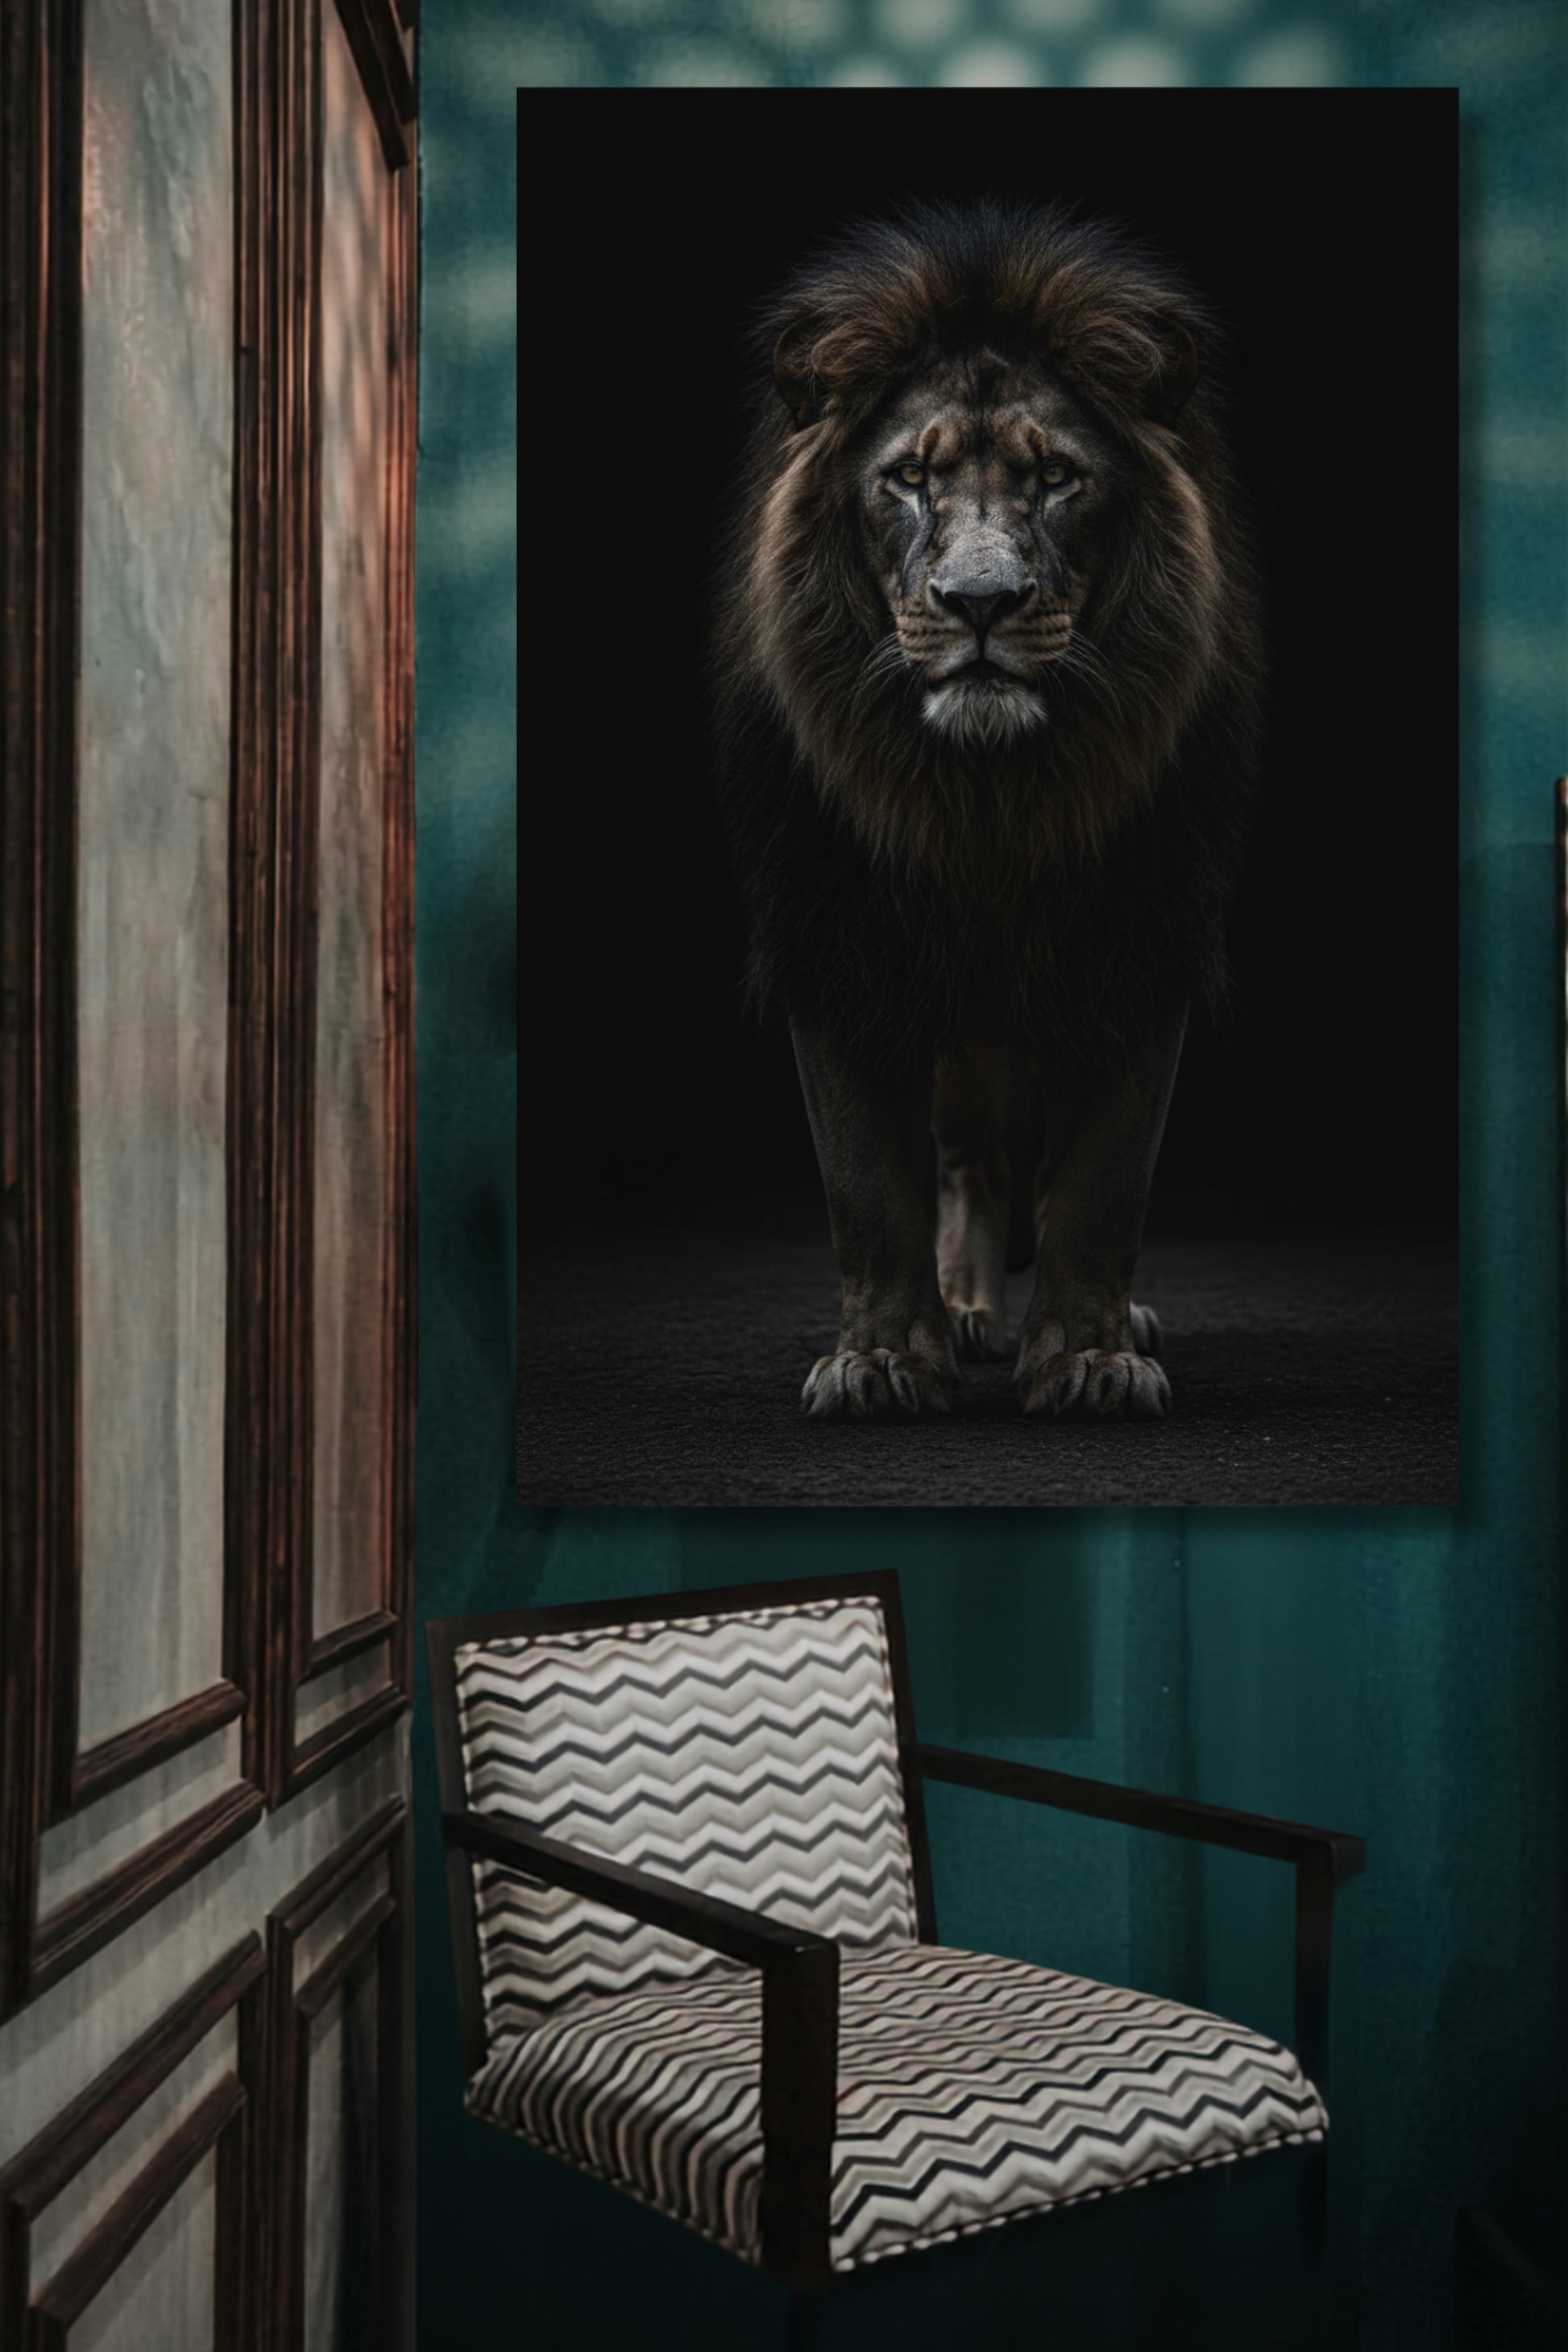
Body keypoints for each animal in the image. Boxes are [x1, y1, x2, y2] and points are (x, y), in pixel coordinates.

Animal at [711, 199, 1265, 1422]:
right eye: (906, 480)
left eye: (1056, 477)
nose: (978, 602)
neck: (988, 798)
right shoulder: (836, 939)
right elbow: (868, 1189)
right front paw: (880, 1362)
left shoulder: (1138, 941)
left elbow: (1103, 1183)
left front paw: (1089, 1359)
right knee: (970, 1161)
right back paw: (966, 1311)